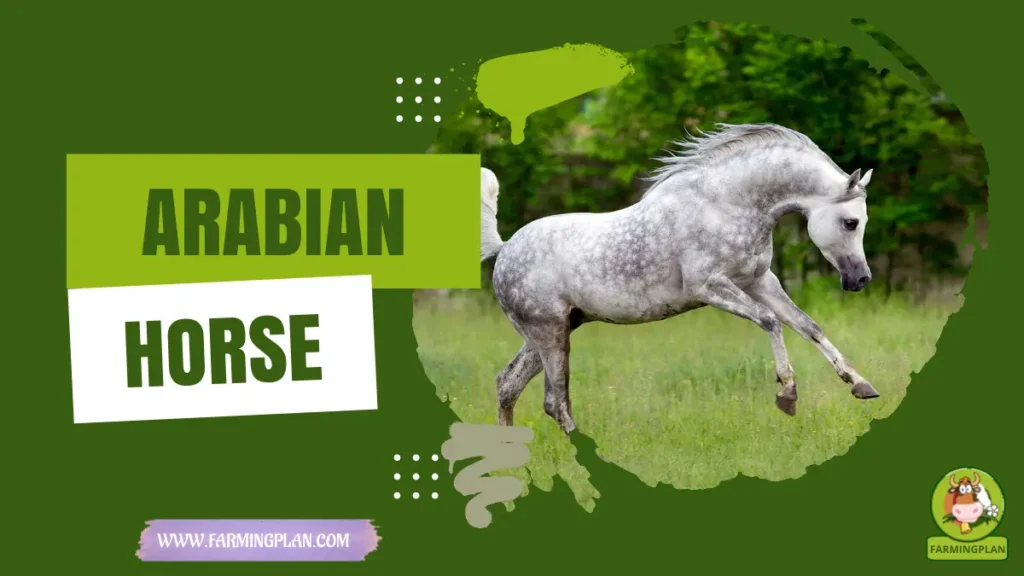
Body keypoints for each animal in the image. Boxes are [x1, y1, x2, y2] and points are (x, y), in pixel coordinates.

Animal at [479, 123, 881, 436]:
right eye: (851, 222)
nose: (861, 279)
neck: (727, 204)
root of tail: (505, 249)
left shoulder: (760, 282)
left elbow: (808, 326)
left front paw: (861, 385)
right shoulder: (710, 287)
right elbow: (770, 322)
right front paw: (787, 394)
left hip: (554, 331)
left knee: (507, 385)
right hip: (550, 335)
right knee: (555, 401)